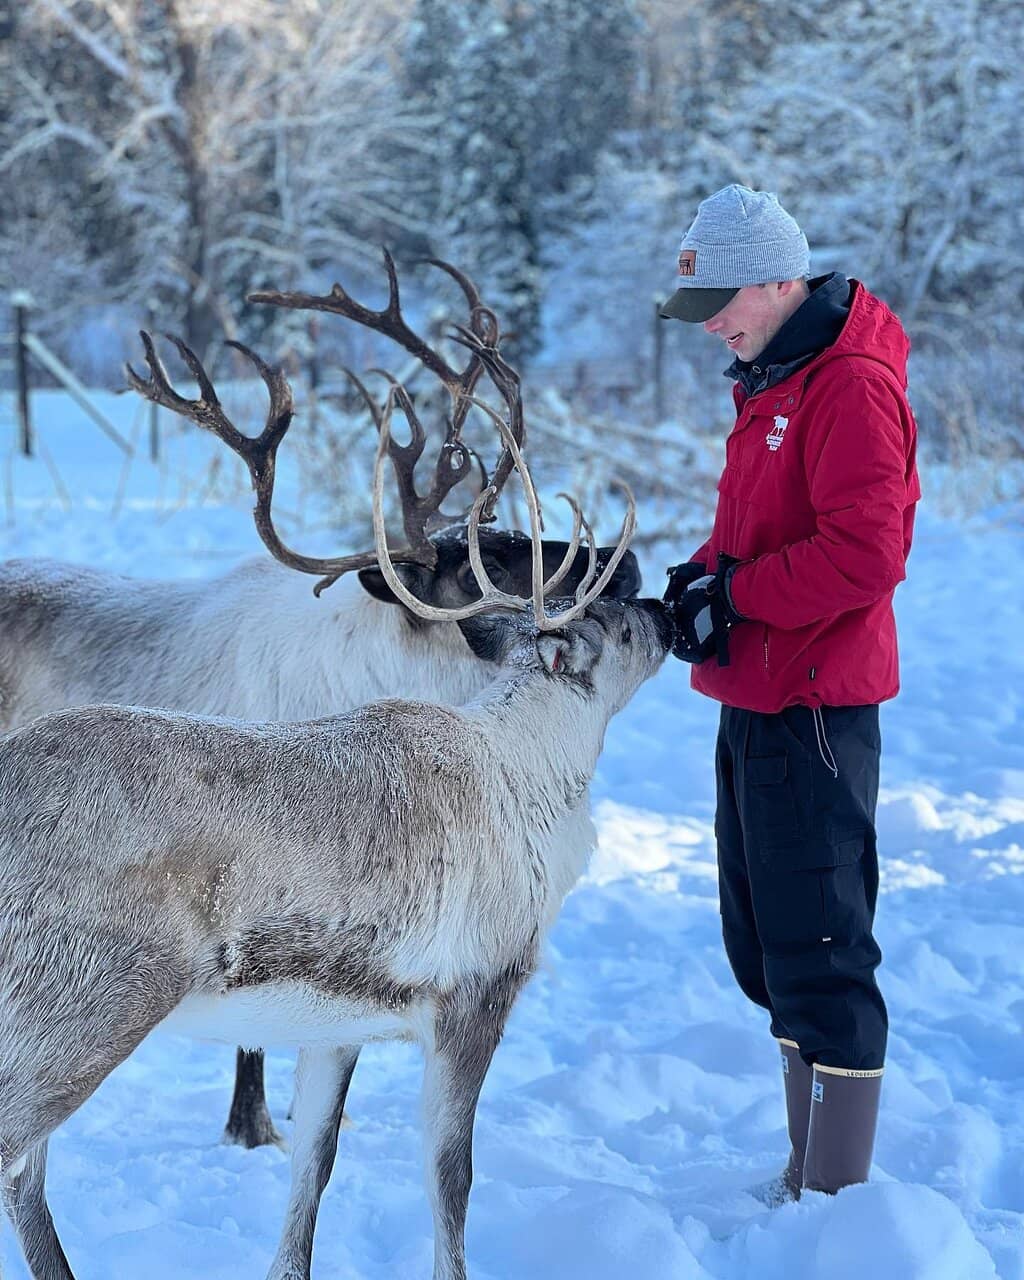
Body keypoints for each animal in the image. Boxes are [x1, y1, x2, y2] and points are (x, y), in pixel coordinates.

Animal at [0, 398, 674, 1280]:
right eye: (616, 626)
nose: (663, 603)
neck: (536, 773)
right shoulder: (476, 998)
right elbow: (450, 1179)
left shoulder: (334, 1029)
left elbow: (310, 1171)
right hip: (85, 1006)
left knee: (27, 1174)